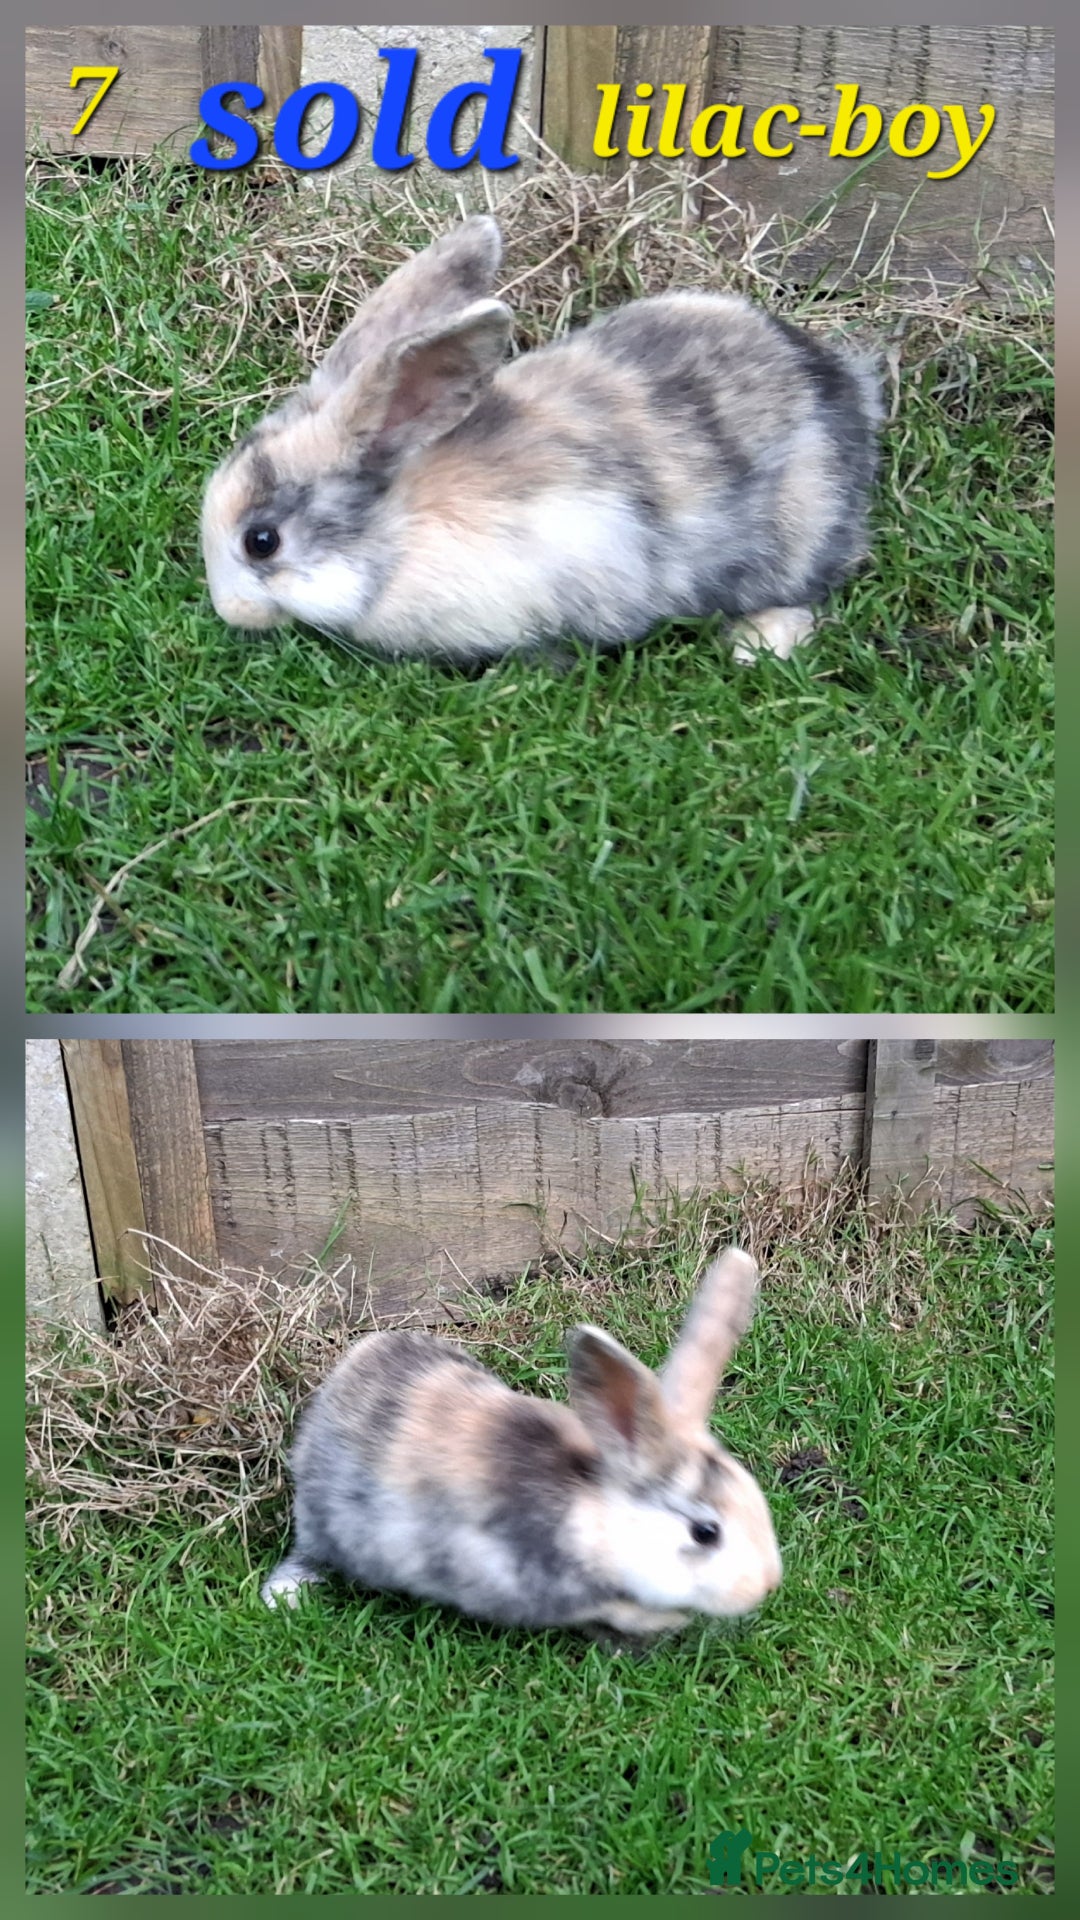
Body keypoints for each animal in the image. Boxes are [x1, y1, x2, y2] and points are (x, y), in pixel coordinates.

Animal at [261, 1246, 782, 1636]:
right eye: (705, 1532)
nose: (767, 1584)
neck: (591, 1515)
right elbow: (602, 1609)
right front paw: (662, 1621)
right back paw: (284, 1596)